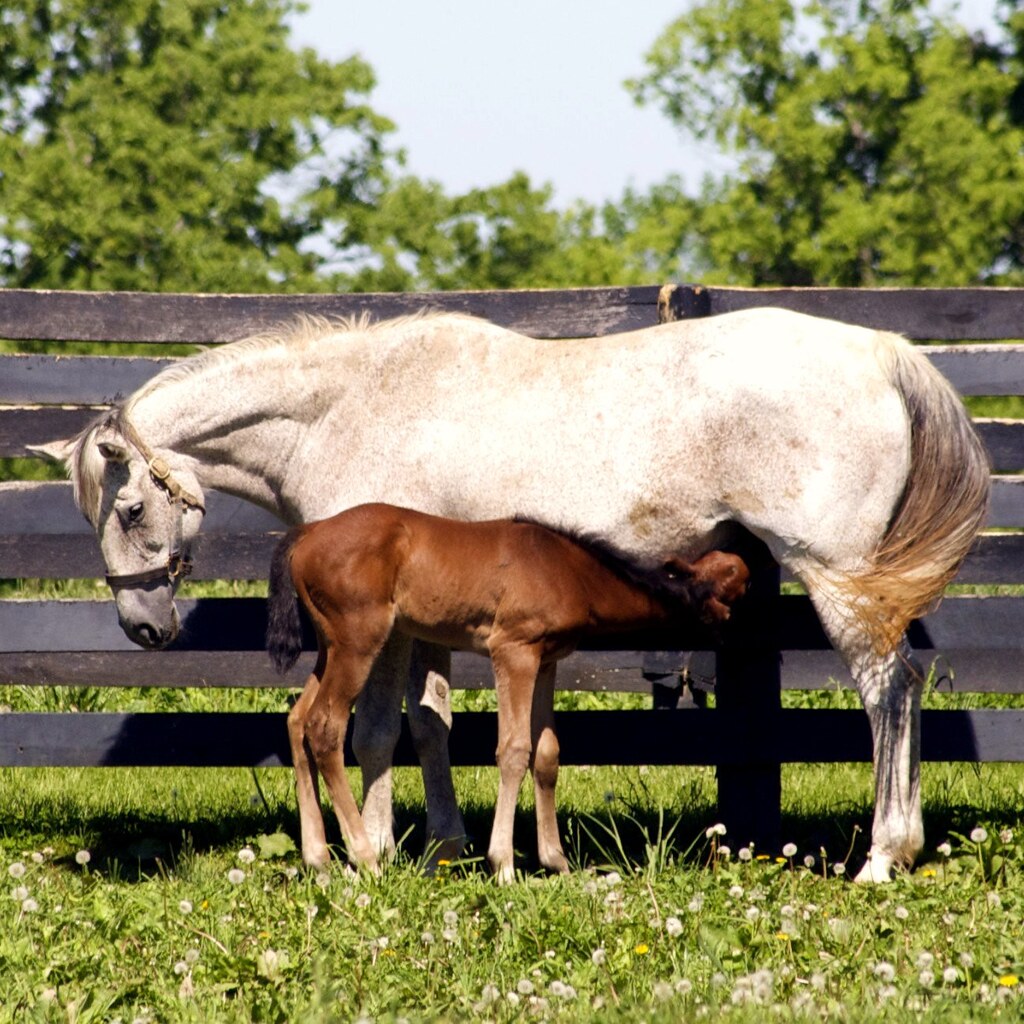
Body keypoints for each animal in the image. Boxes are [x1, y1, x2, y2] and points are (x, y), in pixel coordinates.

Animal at [265, 502, 750, 881]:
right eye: (735, 584)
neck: (568, 567)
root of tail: (308, 532)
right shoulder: (513, 651)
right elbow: (514, 750)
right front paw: (503, 865)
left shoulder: (547, 659)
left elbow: (548, 752)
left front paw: (556, 861)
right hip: (358, 641)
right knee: (324, 726)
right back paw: (364, 856)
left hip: (330, 646)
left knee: (296, 719)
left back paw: (318, 858)